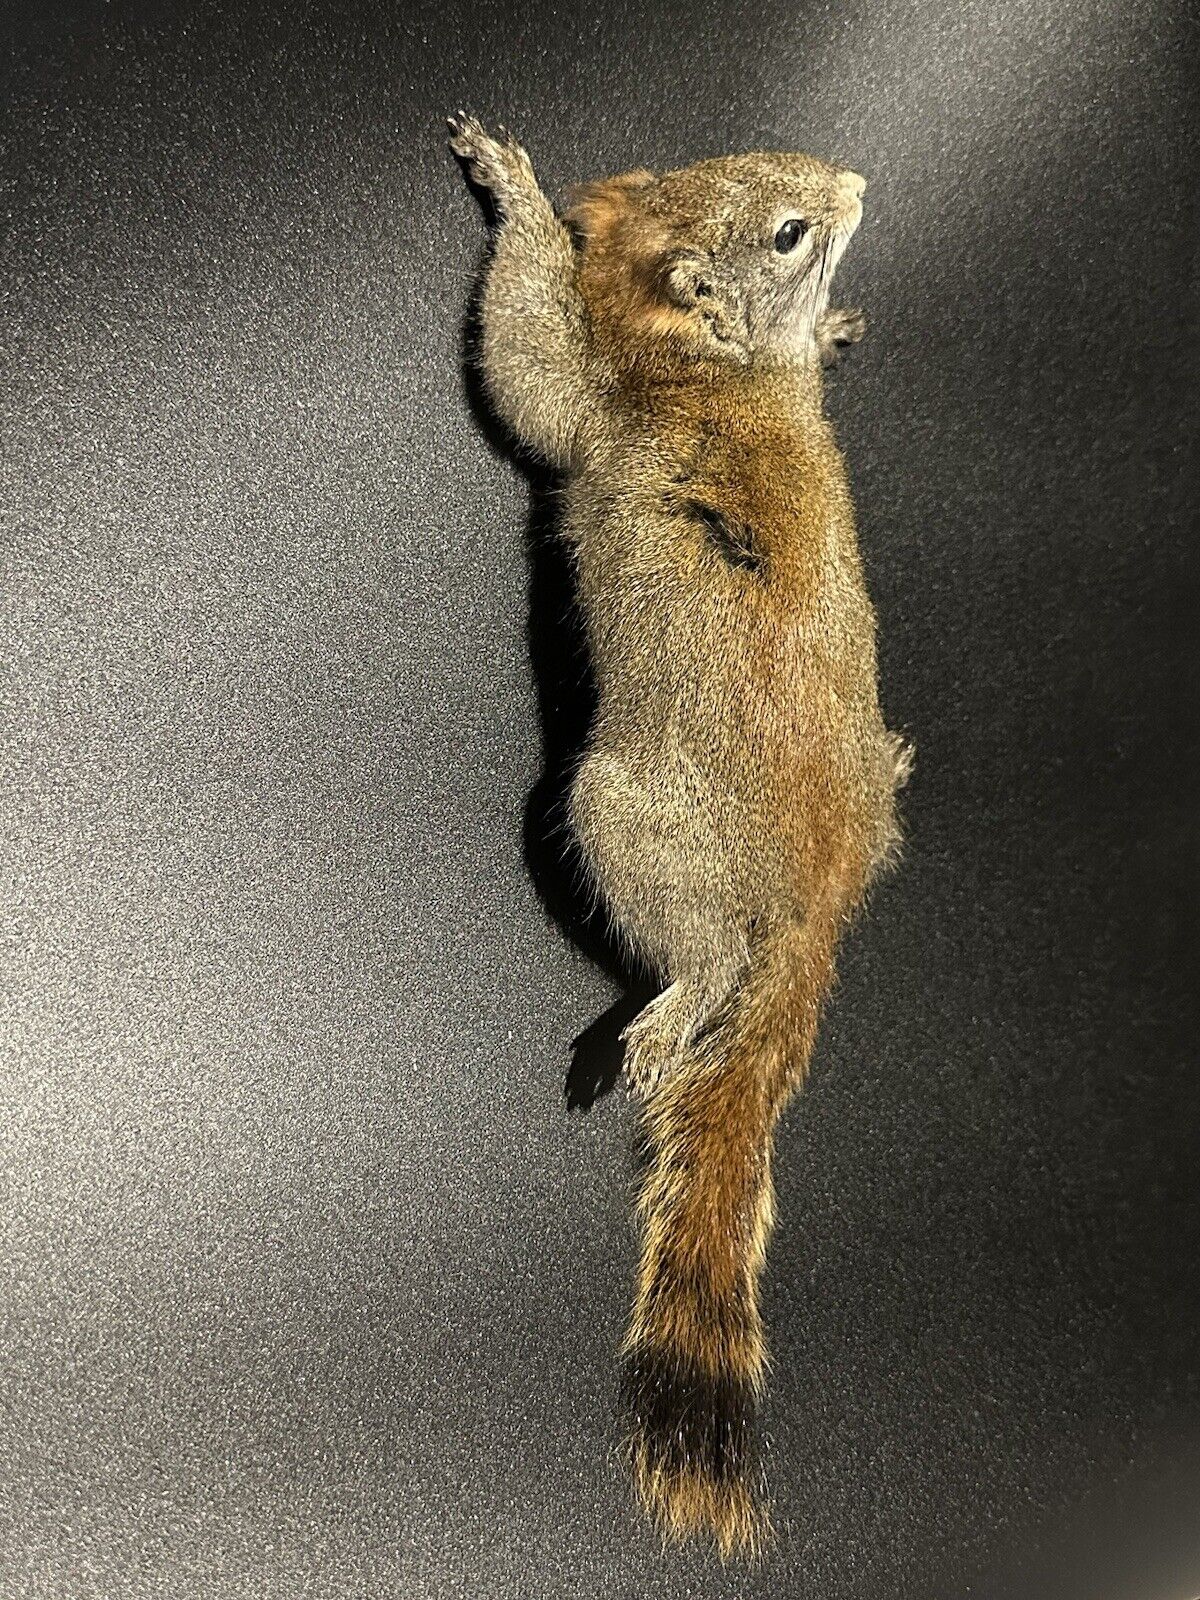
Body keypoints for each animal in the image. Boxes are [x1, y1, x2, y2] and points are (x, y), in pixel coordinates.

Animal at [449, 115, 912, 1558]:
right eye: (785, 228)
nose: (853, 186)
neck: (707, 357)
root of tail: (816, 899)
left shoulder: (589, 399)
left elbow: (525, 364)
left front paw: (510, 189)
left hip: (620, 814)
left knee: (699, 957)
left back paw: (664, 1014)